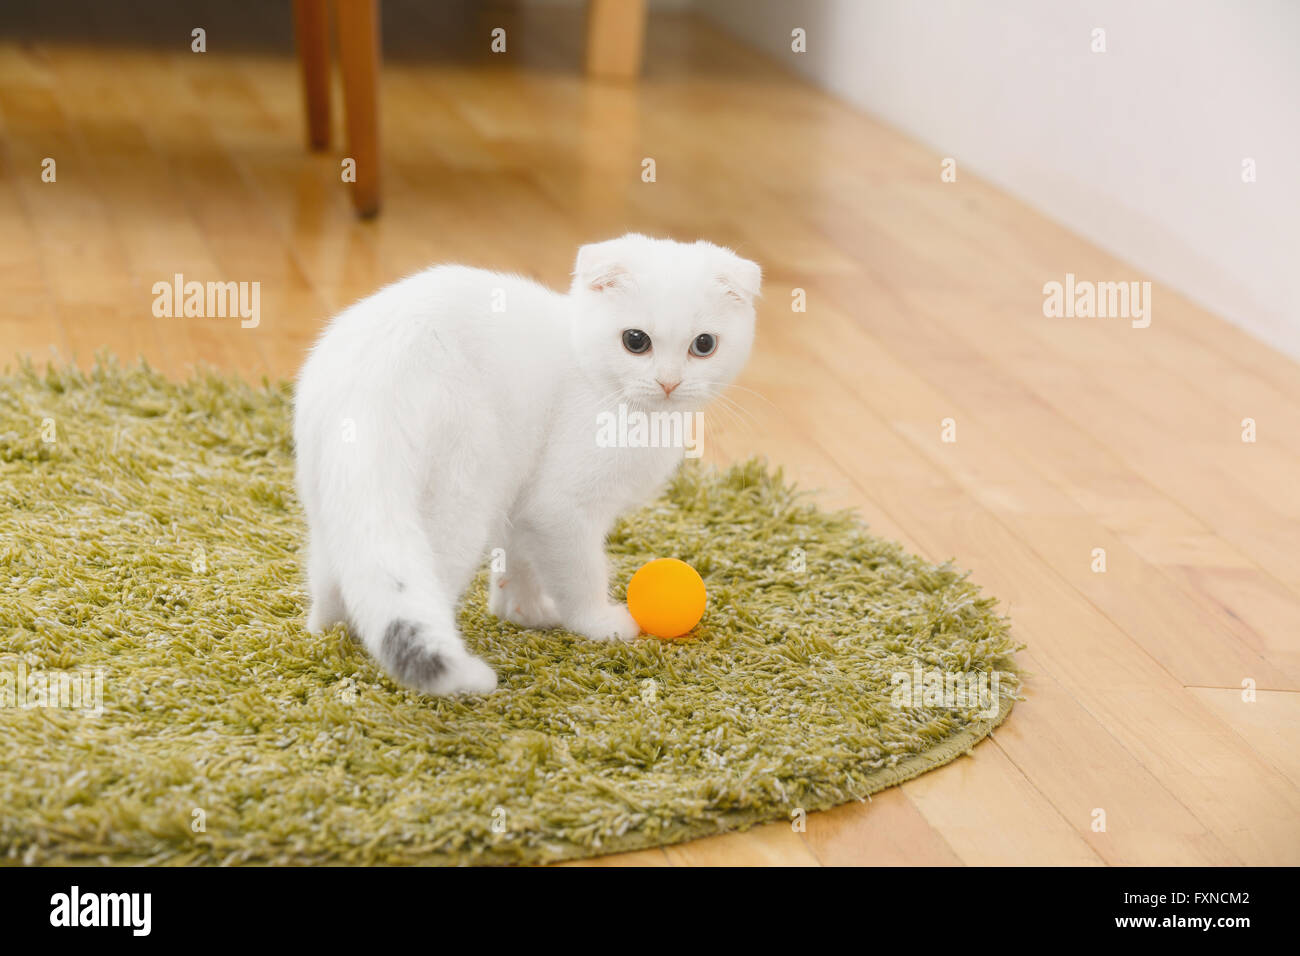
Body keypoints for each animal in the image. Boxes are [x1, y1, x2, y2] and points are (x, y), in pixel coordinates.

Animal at [295, 234, 759, 697]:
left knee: (339, 585)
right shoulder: (558, 509)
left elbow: (518, 563)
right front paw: (598, 624)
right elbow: (578, 573)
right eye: (635, 340)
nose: (669, 382)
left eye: (704, 345)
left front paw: (523, 612)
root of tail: (366, 387)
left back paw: (332, 636)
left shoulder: (522, 498)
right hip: (462, 494)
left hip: (334, 503)